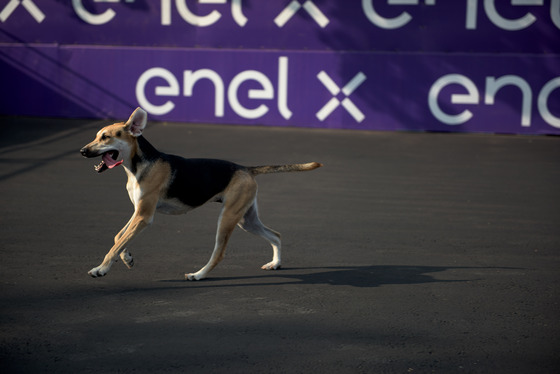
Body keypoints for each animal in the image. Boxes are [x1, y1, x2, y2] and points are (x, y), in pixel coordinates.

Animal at [81, 106, 322, 280]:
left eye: (106, 137)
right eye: (97, 136)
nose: (83, 151)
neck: (138, 165)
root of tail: (246, 168)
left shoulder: (144, 216)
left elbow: (114, 245)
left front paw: (101, 269)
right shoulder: (138, 213)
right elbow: (118, 238)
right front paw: (127, 258)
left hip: (228, 218)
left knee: (219, 254)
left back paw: (198, 274)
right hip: (246, 220)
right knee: (276, 235)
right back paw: (275, 263)